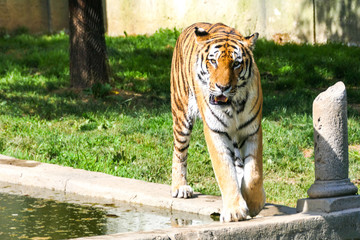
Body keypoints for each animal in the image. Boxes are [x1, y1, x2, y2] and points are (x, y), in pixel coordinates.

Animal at [169, 21, 264, 222]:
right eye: (213, 61)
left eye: (236, 64)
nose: (222, 87)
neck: (233, 106)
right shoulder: (216, 131)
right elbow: (225, 171)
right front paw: (235, 211)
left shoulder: (252, 130)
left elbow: (254, 173)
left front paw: (253, 204)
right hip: (181, 116)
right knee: (179, 152)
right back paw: (180, 187)